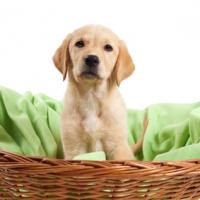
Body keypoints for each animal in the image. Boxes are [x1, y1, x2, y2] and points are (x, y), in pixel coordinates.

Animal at [52, 24, 135, 159]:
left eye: (108, 47)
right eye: (79, 43)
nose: (91, 59)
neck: (91, 95)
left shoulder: (117, 146)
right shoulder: (74, 146)